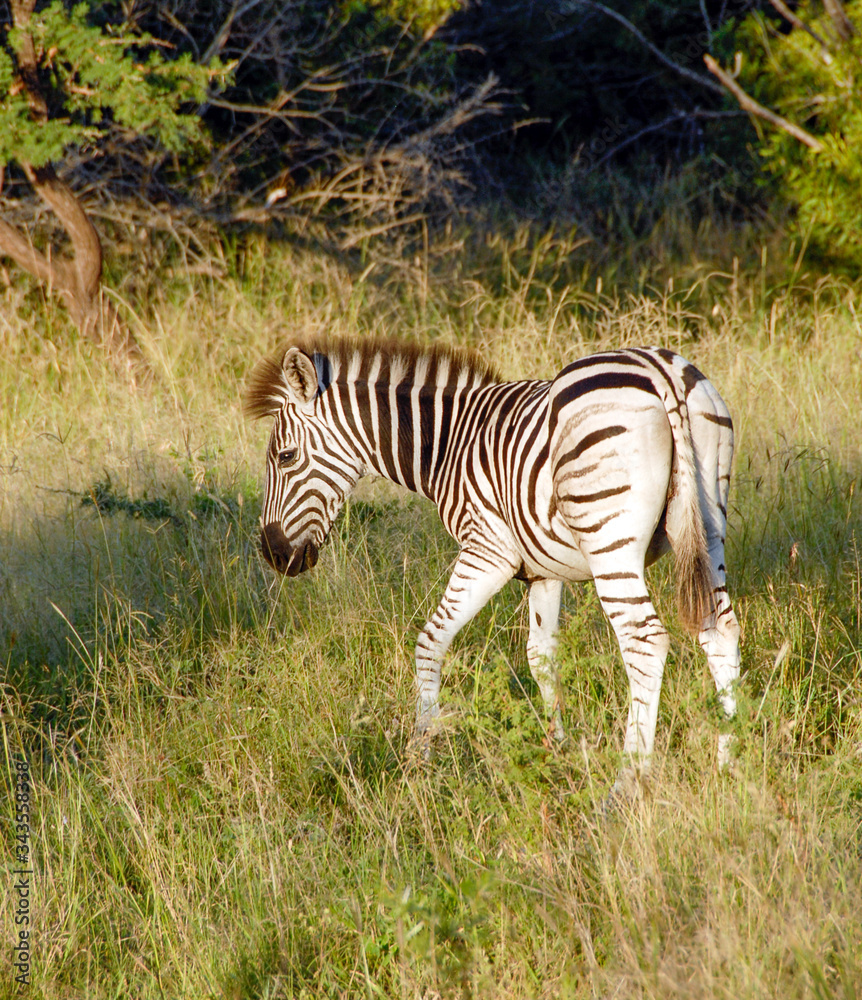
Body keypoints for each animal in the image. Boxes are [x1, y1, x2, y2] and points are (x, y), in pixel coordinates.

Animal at [245, 337, 740, 784]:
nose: (273, 554)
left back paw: (628, 781)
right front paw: (555, 754)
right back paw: (729, 760)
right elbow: (541, 657)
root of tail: (660, 371)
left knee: (645, 641)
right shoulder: (543, 569)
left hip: (610, 540)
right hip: (709, 522)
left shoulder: (487, 550)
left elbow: (430, 642)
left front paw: (420, 755)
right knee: (720, 631)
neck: (447, 446)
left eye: (286, 457)